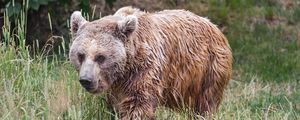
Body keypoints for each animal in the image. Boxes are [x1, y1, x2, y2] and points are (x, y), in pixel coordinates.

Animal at [69, 6, 232, 119]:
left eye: (101, 57)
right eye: (81, 55)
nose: (86, 80)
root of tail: (215, 26)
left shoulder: (145, 70)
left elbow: (138, 104)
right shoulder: (115, 86)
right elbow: (112, 105)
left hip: (209, 69)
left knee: (206, 104)